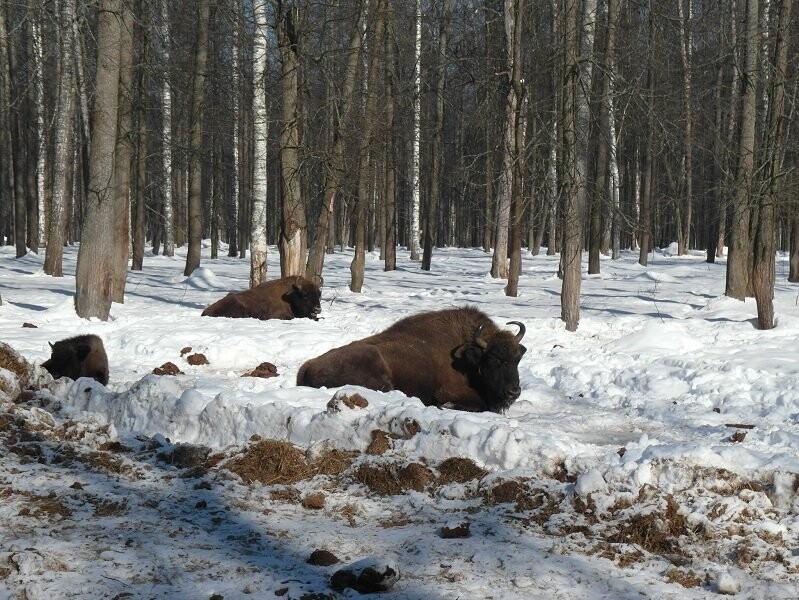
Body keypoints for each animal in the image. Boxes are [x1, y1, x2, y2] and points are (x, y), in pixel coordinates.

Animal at [296, 304, 528, 412]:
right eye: (493, 360)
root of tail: (307, 366)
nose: (514, 391)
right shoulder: (449, 391)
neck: (468, 356)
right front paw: (447, 406)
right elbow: (480, 404)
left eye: (517, 360)